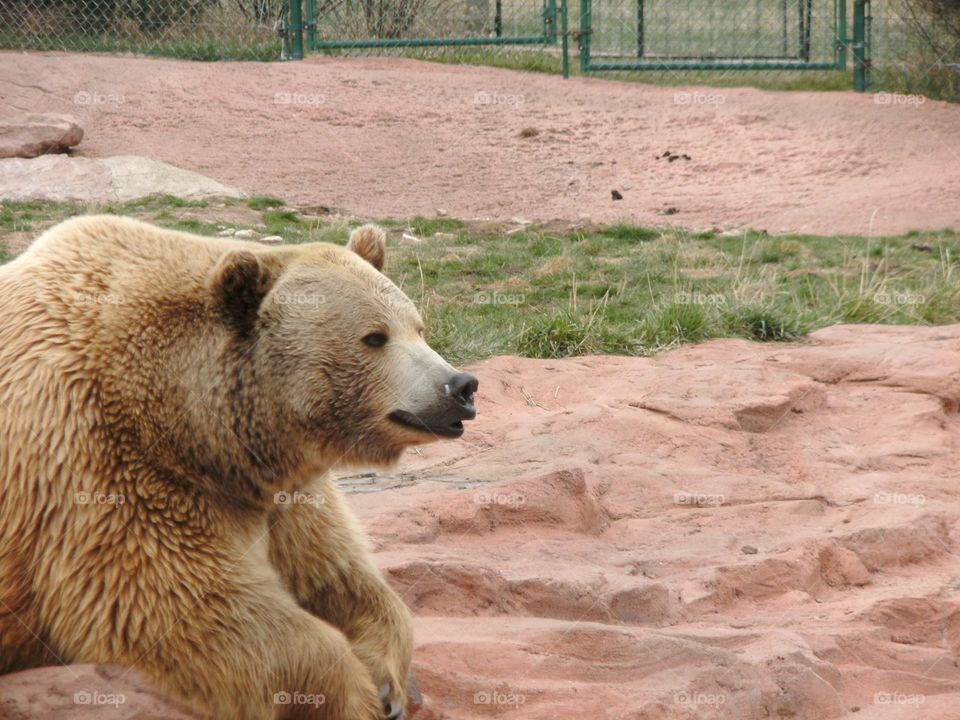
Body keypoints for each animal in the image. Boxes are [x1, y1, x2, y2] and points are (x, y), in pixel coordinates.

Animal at [0, 215, 478, 720]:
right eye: (374, 337)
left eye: (419, 328)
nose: (461, 386)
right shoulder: (97, 463)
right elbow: (185, 606)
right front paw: (354, 695)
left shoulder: (274, 485)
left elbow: (335, 570)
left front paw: (388, 682)